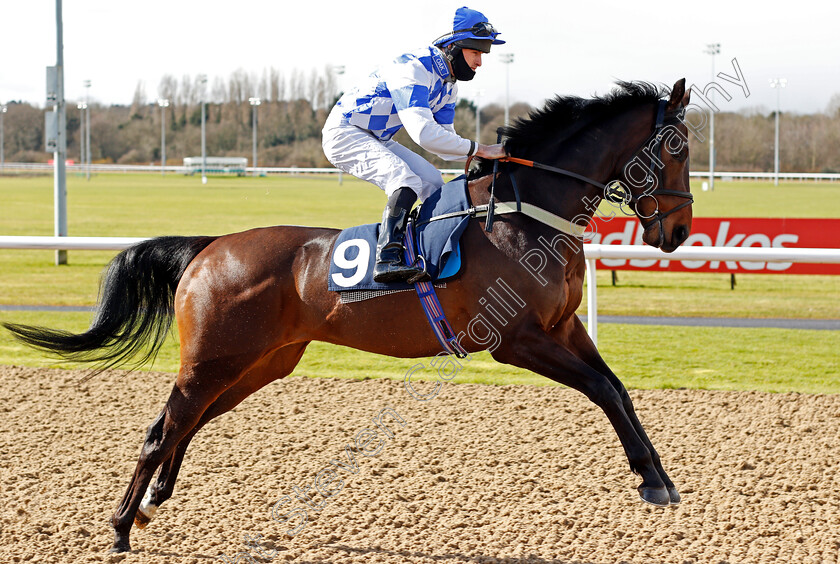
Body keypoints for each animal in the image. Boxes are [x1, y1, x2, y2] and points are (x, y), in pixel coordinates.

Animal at [3, 78, 692, 552]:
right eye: (678, 147)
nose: (680, 232)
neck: (525, 212)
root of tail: (210, 247)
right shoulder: (517, 340)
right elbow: (601, 388)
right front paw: (653, 480)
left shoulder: (563, 328)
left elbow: (617, 388)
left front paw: (657, 477)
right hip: (214, 360)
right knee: (163, 429)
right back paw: (121, 525)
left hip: (257, 365)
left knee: (182, 423)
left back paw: (149, 505)